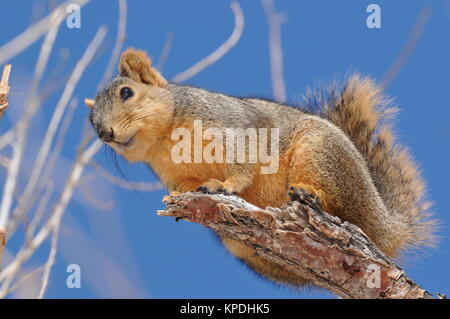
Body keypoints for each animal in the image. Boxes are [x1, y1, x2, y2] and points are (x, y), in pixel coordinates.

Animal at [87, 48, 436, 288]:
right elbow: (183, 186)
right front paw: (180, 199)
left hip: (320, 154)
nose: (105, 133)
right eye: (91, 122)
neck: (164, 138)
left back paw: (311, 193)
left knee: (341, 205)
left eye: (127, 92)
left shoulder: (232, 129)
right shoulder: (172, 173)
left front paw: (226, 185)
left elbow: (242, 162)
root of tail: (383, 222)